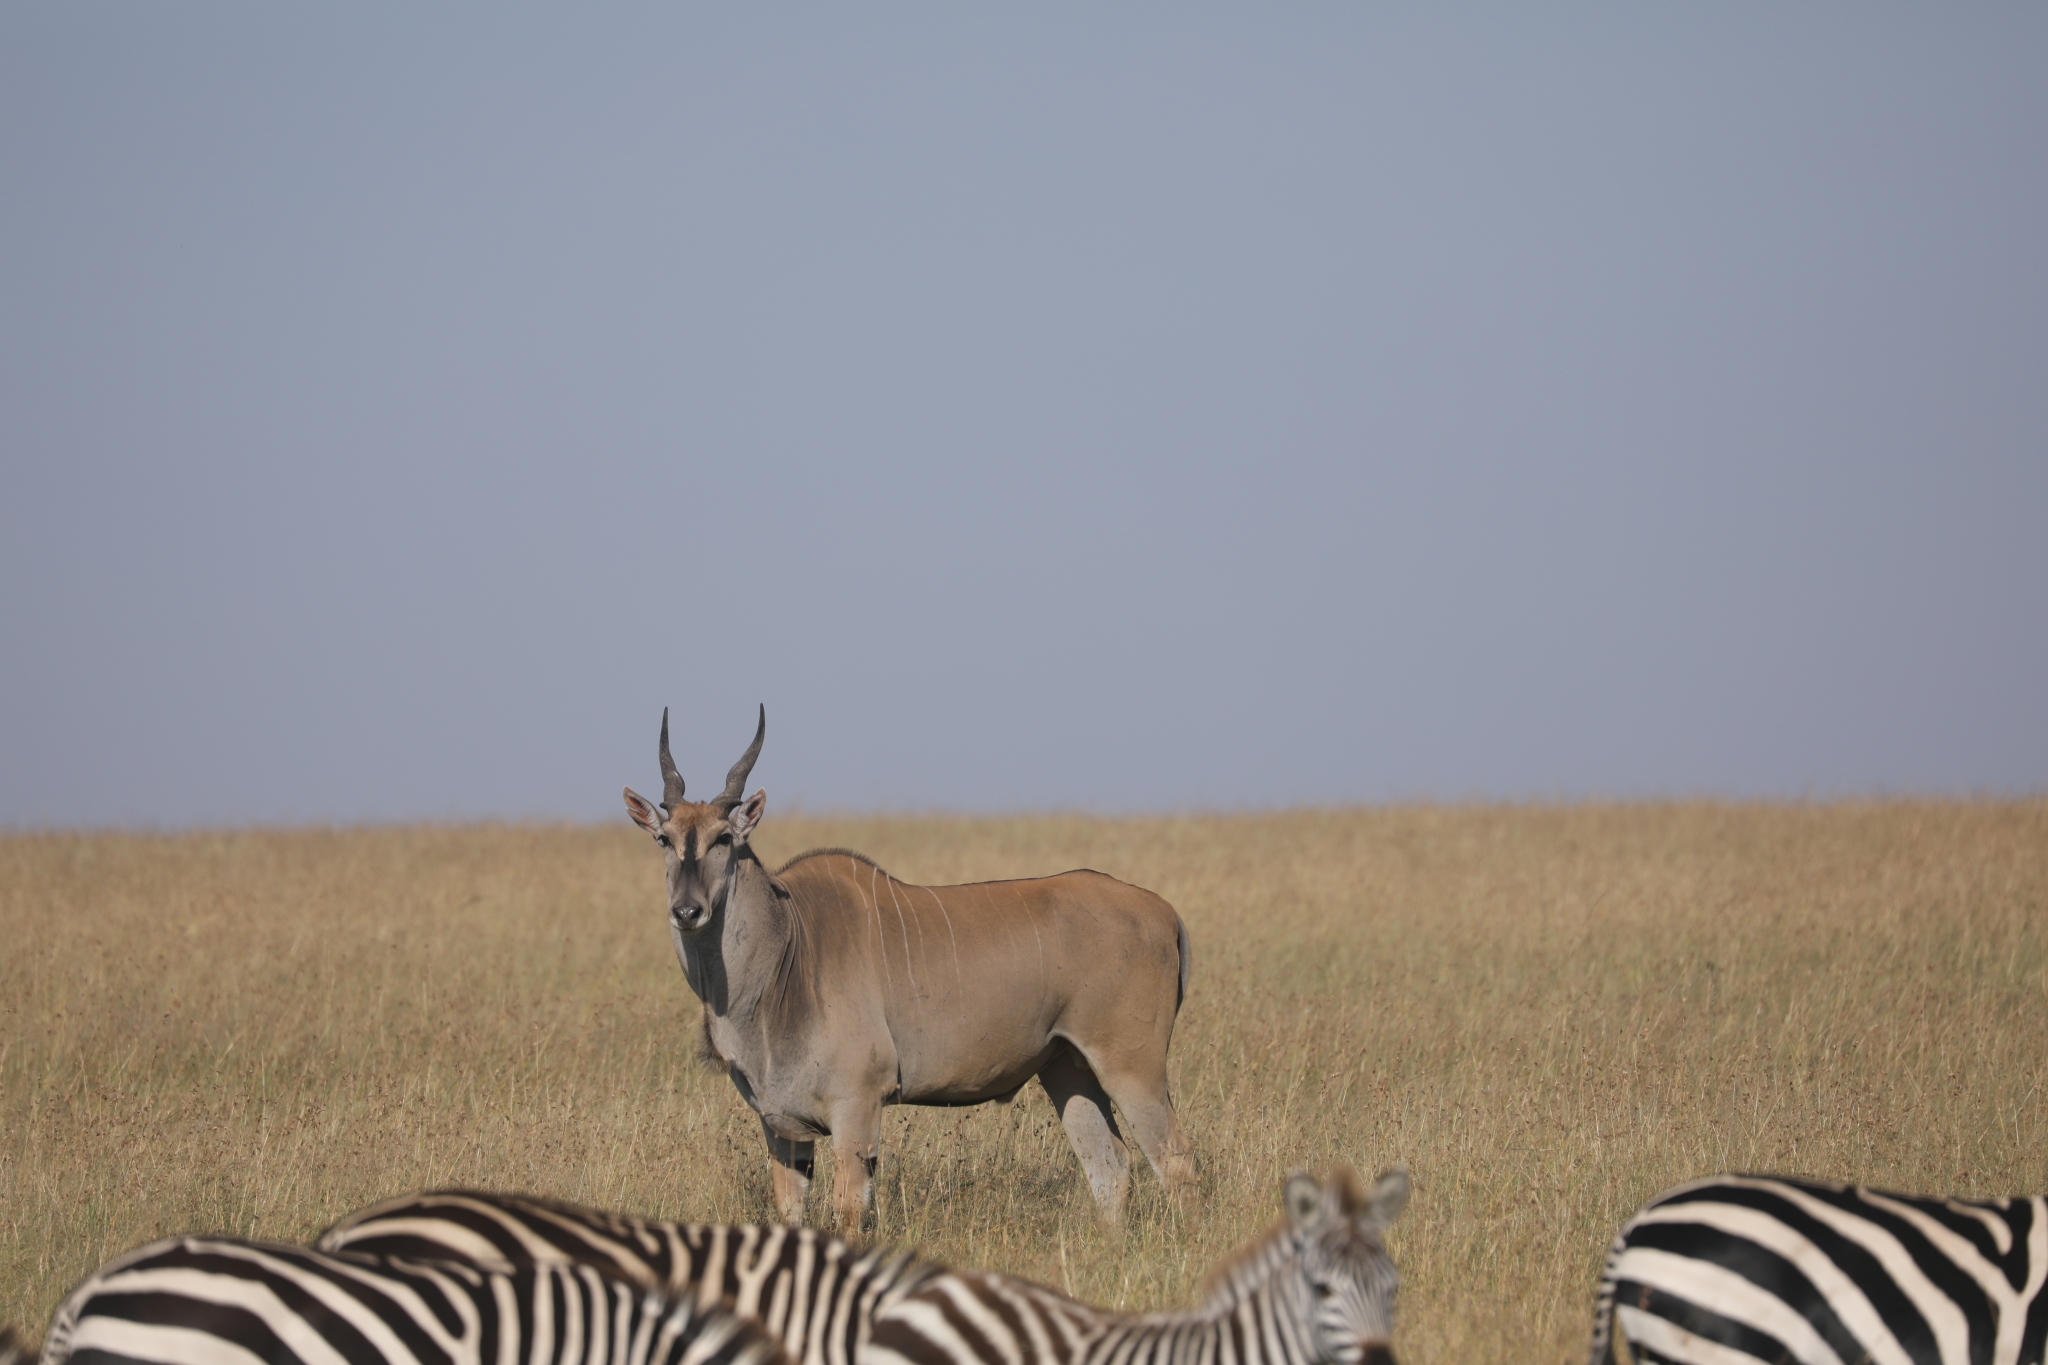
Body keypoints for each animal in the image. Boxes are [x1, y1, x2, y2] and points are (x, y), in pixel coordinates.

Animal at [622, 712, 1196, 1236]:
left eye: (723, 838)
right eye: (664, 839)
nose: (687, 910)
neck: (789, 948)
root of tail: (1165, 912)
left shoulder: (857, 1109)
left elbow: (850, 1213)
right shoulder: (780, 1127)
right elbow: (790, 1213)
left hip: (1131, 1065)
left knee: (1174, 1161)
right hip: (1067, 1069)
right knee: (1110, 1167)